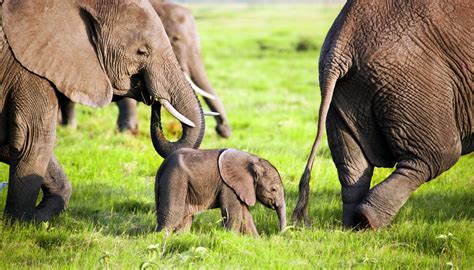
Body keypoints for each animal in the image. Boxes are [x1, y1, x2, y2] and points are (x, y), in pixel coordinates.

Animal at [0, 0, 205, 221]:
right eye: (142, 52)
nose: (154, 100)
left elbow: (14, 145)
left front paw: (37, 218)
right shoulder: (28, 70)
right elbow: (33, 141)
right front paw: (19, 224)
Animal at [155, 149, 286, 235]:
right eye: (273, 189)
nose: (279, 234)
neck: (253, 159)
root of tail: (163, 165)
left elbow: (245, 215)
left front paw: (256, 242)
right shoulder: (228, 185)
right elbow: (234, 214)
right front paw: (231, 238)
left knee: (185, 217)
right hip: (175, 178)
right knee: (173, 214)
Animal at [290, 0, 472, 229]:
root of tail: (341, 43)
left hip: (343, 93)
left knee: (353, 167)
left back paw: (353, 226)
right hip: (410, 79)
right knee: (436, 156)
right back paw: (368, 221)